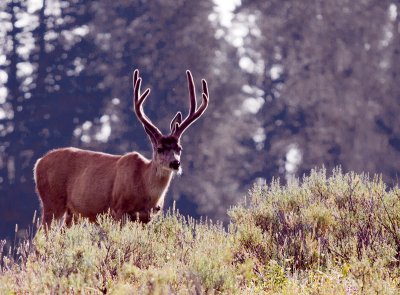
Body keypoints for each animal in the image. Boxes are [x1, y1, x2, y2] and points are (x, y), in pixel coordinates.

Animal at [34, 69, 209, 229]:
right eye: (159, 148)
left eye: (179, 148)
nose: (175, 163)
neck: (144, 186)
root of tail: (38, 163)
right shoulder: (119, 209)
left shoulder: (147, 218)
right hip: (52, 201)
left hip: (73, 212)